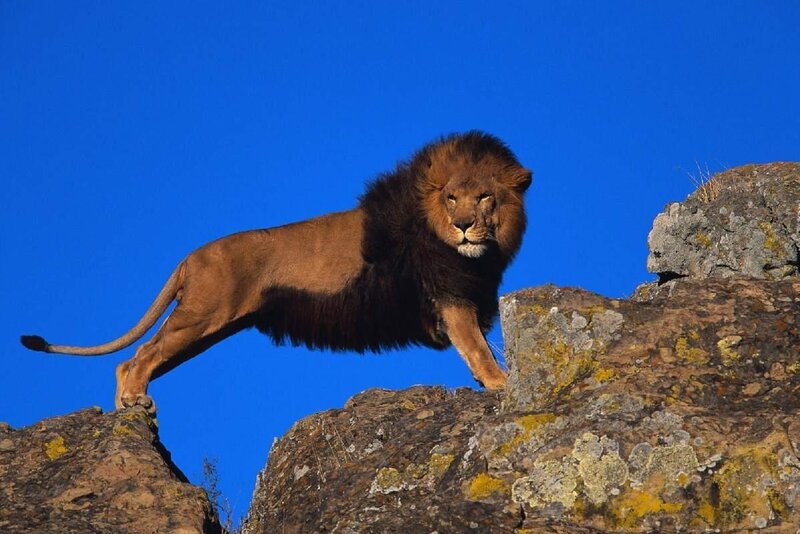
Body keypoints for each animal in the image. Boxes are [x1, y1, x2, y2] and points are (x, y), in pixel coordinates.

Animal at [21, 131, 532, 412]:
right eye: (451, 198)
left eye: (485, 197)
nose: (463, 225)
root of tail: (191, 256)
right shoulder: (452, 298)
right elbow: (478, 349)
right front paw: (502, 384)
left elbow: (480, 346)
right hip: (199, 317)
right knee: (139, 354)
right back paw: (134, 402)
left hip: (206, 330)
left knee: (135, 358)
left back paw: (125, 408)